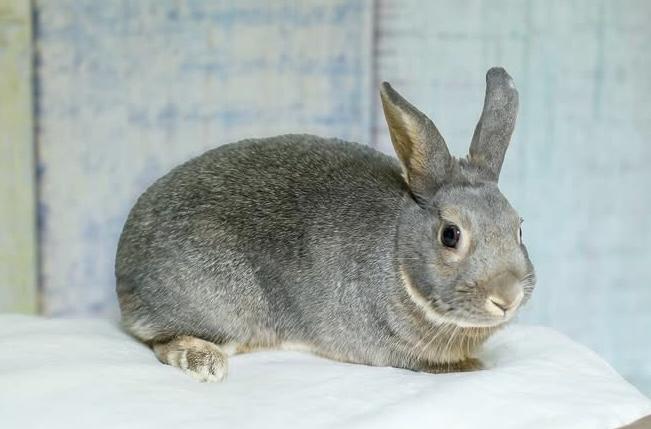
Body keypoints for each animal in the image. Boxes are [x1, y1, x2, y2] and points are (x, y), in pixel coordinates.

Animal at [115, 67, 536, 382]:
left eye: (518, 227)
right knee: (161, 341)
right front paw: (473, 365)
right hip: (221, 306)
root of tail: (124, 273)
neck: (397, 253)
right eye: (450, 235)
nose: (508, 297)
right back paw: (205, 362)